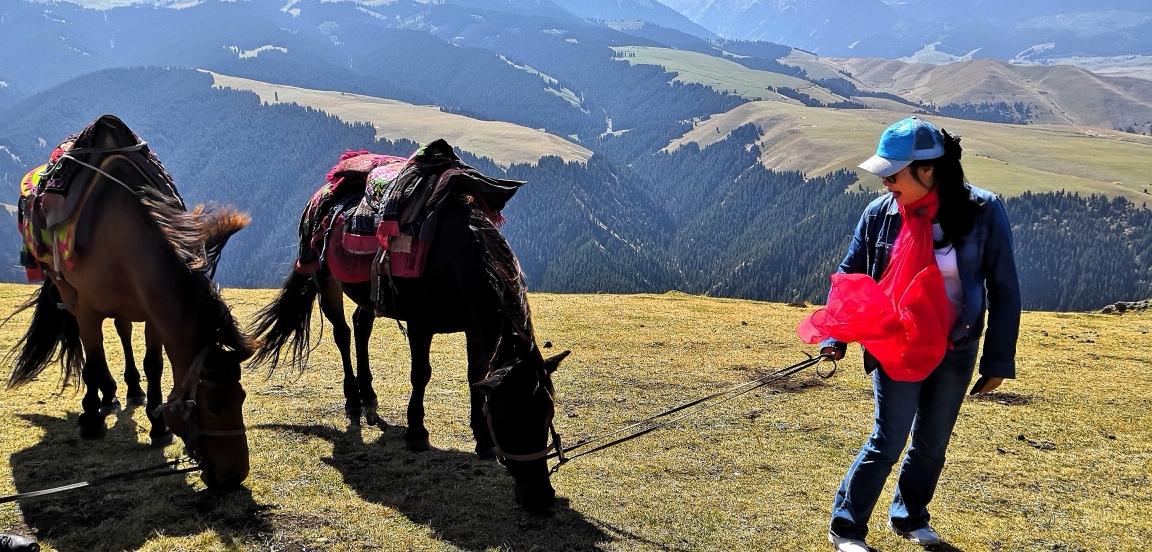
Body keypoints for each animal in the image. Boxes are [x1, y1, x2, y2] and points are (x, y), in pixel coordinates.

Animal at [9, 117, 256, 493]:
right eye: (213, 406)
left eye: (241, 398)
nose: (233, 477)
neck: (116, 226)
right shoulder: (87, 310)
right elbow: (93, 361)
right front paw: (92, 419)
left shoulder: (152, 311)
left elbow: (153, 363)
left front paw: (158, 423)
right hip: (66, 291)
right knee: (90, 351)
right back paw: (102, 399)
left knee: (123, 330)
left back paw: (131, 391)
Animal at [248, 162, 566, 511]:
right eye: (508, 420)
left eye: (547, 413)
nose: (540, 498)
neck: (454, 255)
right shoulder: (419, 325)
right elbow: (420, 375)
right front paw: (416, 433)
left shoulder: (474, 327)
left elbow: (476, 378)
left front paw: (483, 441)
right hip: (324, 278)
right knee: (343, 334)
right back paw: (353, 400)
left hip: (369, 293)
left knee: (361, 326)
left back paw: (369, 397)